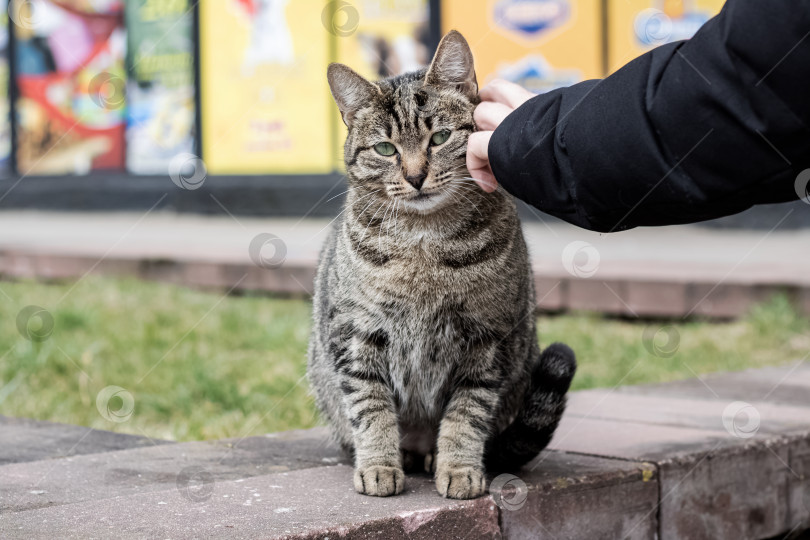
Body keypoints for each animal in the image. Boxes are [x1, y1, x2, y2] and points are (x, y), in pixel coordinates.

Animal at [304, 31, 576, 500]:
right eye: (385, 149)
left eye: (440, 137)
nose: (415, 177)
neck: (423, 242)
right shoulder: (356, 334)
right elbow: (370, 408)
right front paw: (379, 466)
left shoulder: (488, 342)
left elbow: (466, 415)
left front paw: (460, 469)